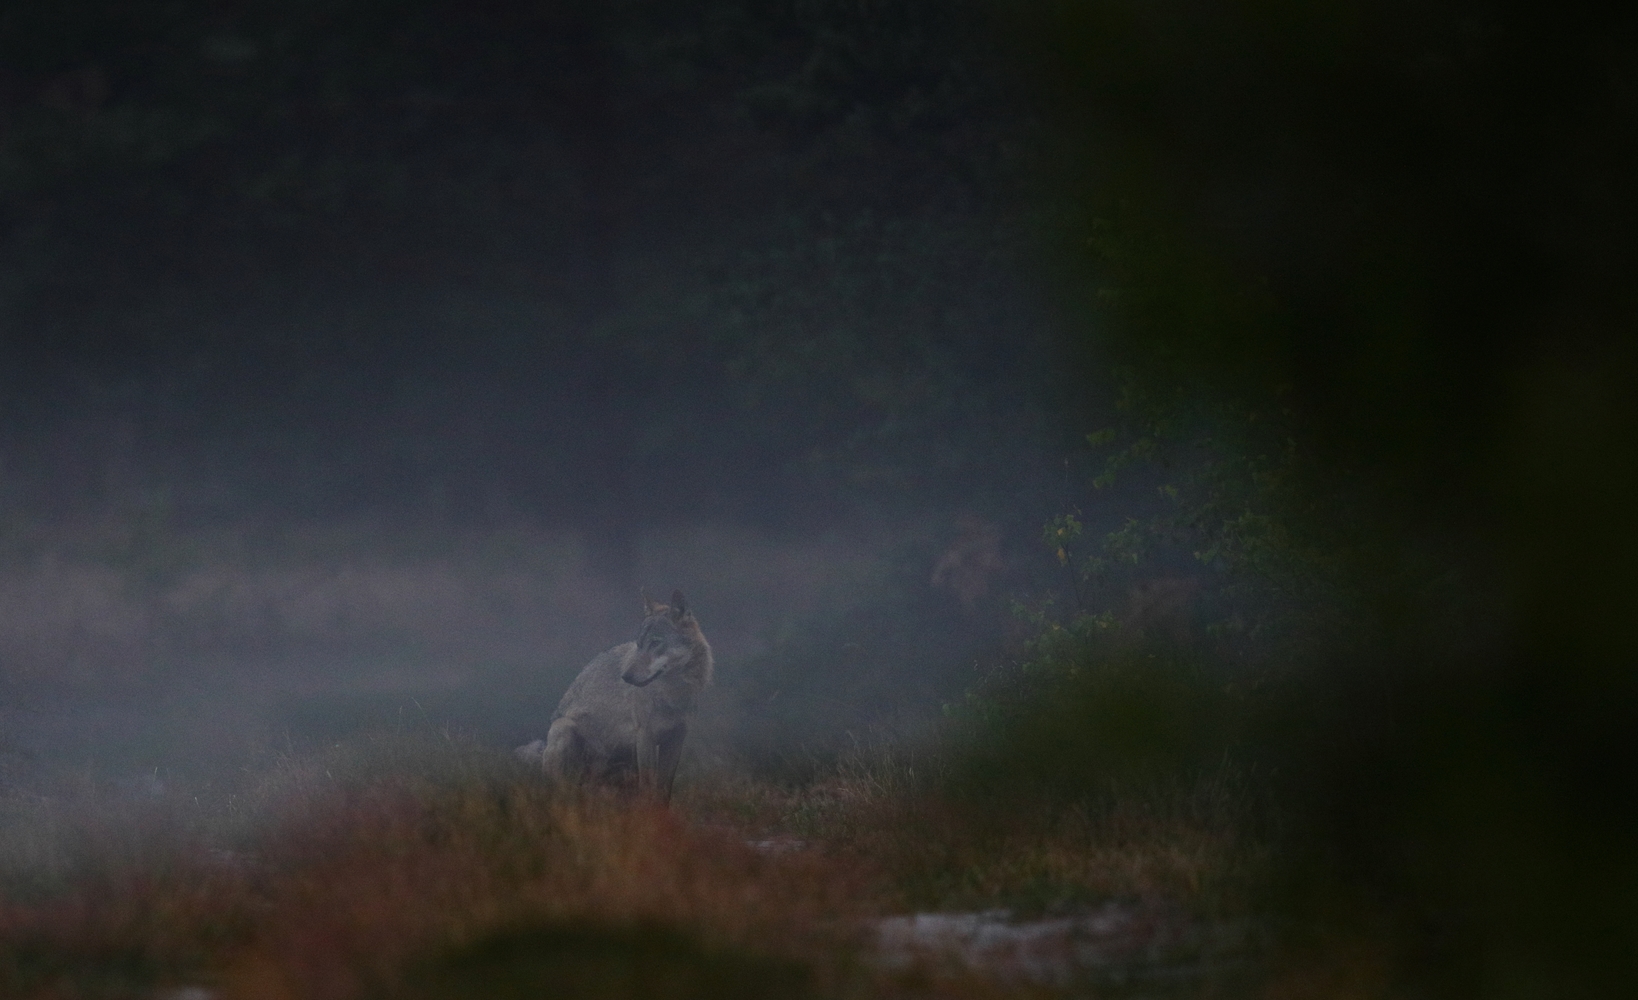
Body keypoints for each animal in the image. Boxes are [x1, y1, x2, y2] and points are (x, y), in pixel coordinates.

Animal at [517, 589, 710, 801]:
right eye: (639, 644)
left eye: (655, 643)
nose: (625, 676)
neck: (673, 695)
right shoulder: (645, 736)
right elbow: (648, 787)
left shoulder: (676, 739)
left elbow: (663, 790)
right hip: (564, 729)